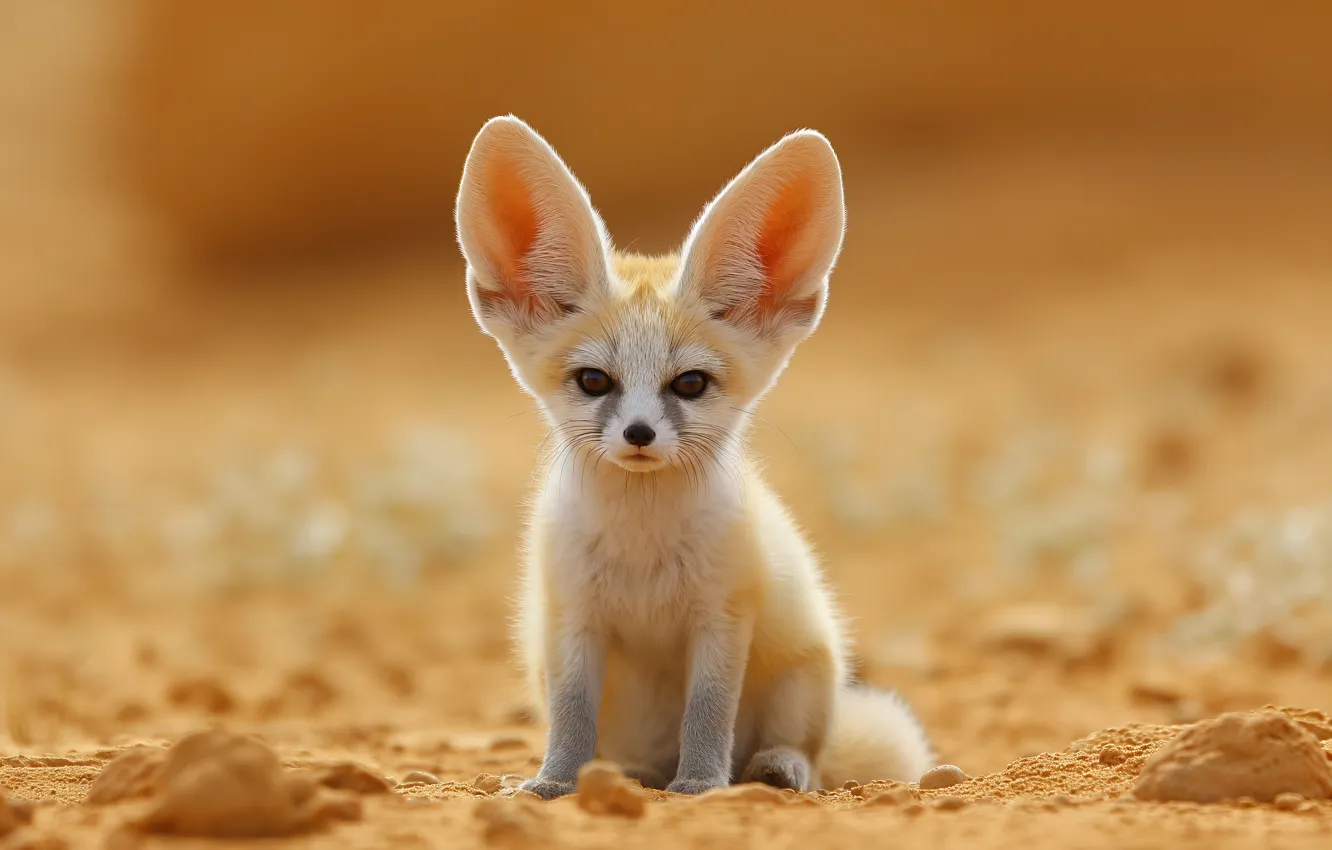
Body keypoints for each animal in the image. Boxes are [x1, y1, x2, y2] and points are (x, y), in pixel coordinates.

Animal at [454, 116, 934, 799]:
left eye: (689, 384)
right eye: (594, 381)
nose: (639, 434)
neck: (642, 548)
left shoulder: (722, 619)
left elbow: (708, 713)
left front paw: (701, 786)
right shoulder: (573, 621)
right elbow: (571, 719)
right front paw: (553, 784)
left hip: (806, 680)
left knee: (808, 756)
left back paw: (775, 768)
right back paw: (626, 775)